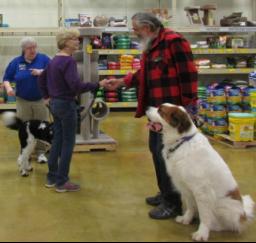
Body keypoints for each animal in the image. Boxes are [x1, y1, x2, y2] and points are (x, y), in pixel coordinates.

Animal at [146, 104, 254, 241]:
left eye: (160, 110)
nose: (147, 108)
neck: (182, 141)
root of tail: (243, 213)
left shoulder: (202, 192)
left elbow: (205, 215)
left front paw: (202, 233)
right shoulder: (185, 187)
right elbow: (190, 206)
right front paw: (186, 219)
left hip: (224, 206)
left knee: (229, 225)